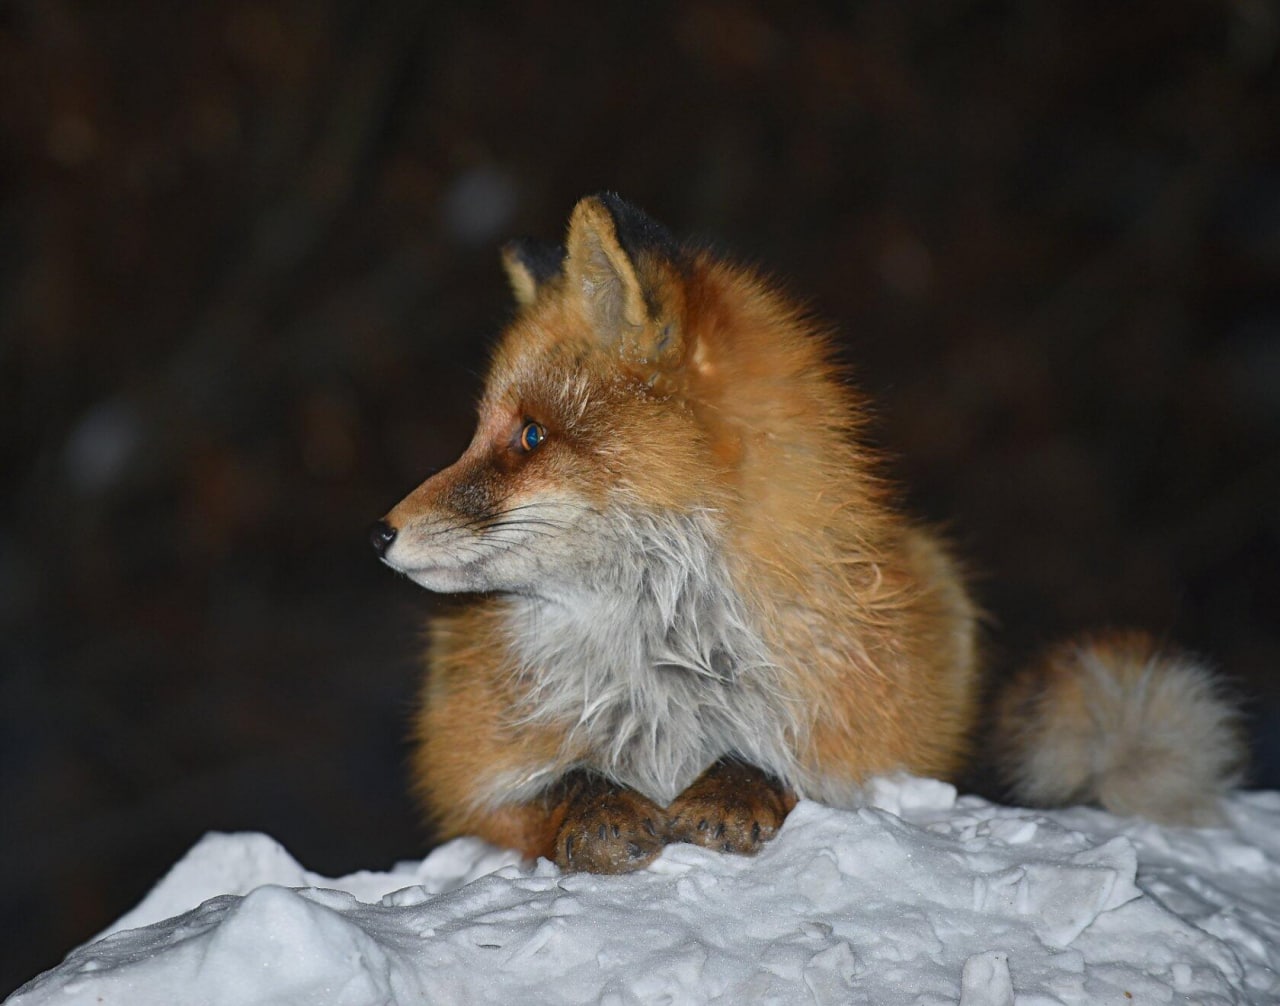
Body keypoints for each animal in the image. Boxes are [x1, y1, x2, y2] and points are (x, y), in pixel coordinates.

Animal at [368, 191, 1239, 865]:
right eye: (482, 432)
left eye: (530, 436)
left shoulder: (871, 753)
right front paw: (599, 809)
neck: (669, 652)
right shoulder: (471, 775)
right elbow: (556, 786)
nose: (380, 532)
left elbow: (786, 767)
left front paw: (735, 786)